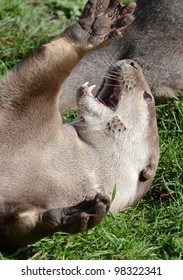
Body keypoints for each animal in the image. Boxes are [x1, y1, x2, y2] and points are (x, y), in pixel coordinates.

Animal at [0, 0, 159, 247]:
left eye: (148, 97)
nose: (134, 62)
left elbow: (12, 229)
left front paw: (69, 216)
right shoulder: (24, 110)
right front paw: (92, 29)